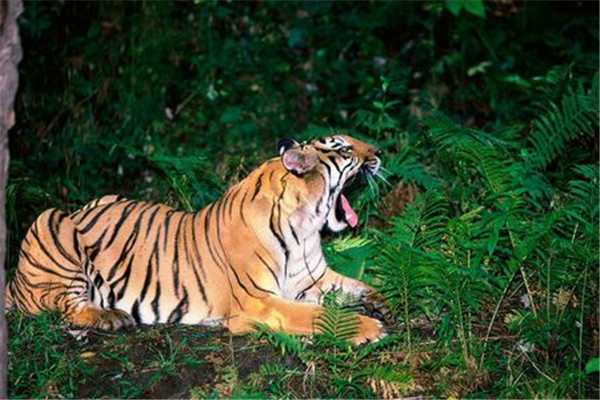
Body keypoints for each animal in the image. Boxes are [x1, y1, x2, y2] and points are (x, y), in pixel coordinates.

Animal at [5, 134, 390, 344]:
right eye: (344, 148)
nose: (379, 152)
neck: (306, 226)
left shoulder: (313, 279)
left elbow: (354, 284)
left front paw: (379, 302)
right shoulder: (259, 301)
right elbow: (319, 315)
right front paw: (371, 327)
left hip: (106, 198)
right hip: (50, 220)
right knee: (64, 307)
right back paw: (111, 317)